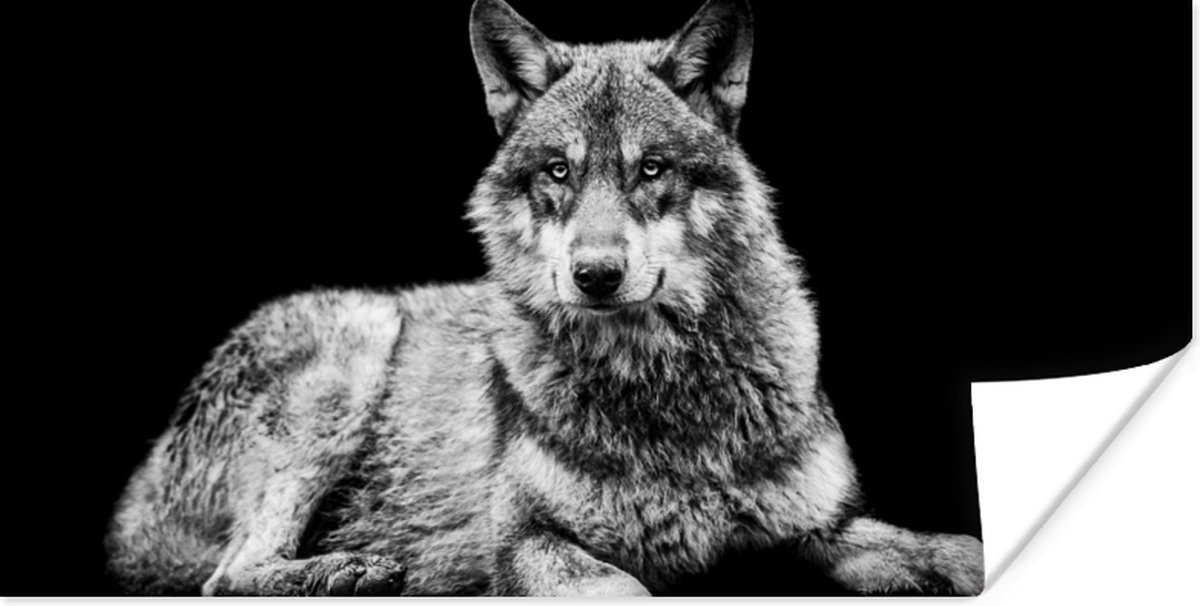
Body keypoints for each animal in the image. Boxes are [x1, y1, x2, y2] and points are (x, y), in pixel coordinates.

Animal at [106, 0, 984, 596]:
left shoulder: (823, 527)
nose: (595, 275)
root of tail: (134, 501)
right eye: (558, 171)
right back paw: (350, 570)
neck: (661, 389)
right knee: (227, 574)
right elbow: (622, 586)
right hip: (356, 344)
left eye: (651, 169)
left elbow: (949, 551)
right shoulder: (525, 542)